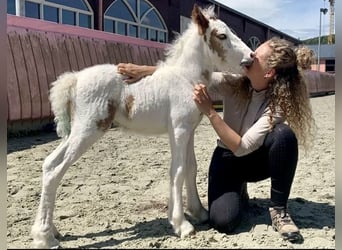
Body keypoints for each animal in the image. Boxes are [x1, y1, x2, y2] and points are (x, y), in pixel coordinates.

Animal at [32, 4, 251, 248]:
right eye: (221, 35)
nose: (250, 57)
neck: (185, 78)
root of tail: (75, 78)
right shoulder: (179, 130)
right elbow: (178, 170)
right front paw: (181, 224)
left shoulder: (189, 130)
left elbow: (191, 168)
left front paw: (199, 212)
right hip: (88, 130)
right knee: (55, 170)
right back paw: (44, 237)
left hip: (77, 131)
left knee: (49, 163)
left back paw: (51, 230)